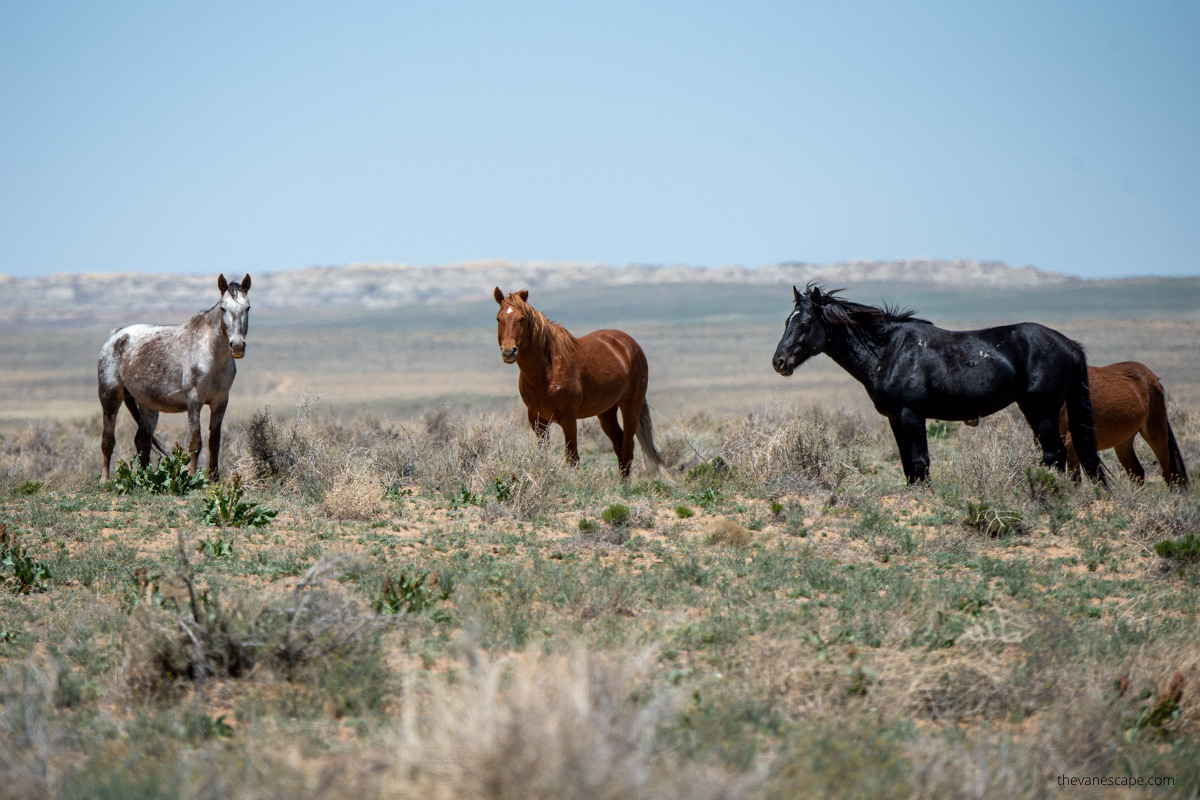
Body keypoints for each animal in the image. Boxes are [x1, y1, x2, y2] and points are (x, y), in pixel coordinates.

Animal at [100, 275, 253, 479]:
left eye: (247, 307)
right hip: (110, 397)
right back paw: (105, 480)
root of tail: (116, 336)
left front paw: (213, 478)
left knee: (142, 441)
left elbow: (214, 441)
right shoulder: (194, 401)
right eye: (223, 307)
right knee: (107, 441)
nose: (237, 346)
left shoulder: (220, 401)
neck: (210, 354)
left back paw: (146, 477)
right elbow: (196, 442)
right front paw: (193, 477)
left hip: (148, 406)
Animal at [492, 286, 672, 474]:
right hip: (606, 411)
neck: (547, 371)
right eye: (499, 318)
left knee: (627, 448)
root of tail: (630, 345)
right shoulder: (537, 419)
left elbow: (572, 459)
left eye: (522, 318)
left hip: (630, 407)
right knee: (619, 444)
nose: (508, 351)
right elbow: (542, 456)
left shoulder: (568, 418)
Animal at [768, 284, 1104, 484]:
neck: (888, 352)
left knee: (1055, 454)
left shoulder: (912, 415)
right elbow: (908, 465)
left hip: (1042, 410)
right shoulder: (894, 419)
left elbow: (920, 461)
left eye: (805, 323)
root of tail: (1070, 345)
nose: (779, 362)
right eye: (787, 321)